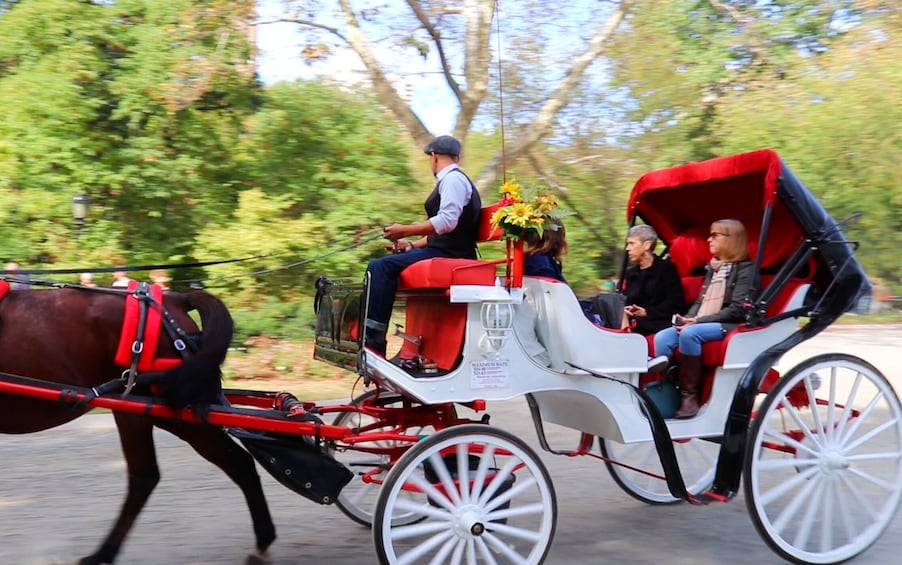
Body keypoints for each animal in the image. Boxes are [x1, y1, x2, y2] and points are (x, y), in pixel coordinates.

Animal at [0, 284, 276, 564]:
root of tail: (174, 299)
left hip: (176, 413)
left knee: (237, 463)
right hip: (135, 410)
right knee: (145, 476)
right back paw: (104, 553)